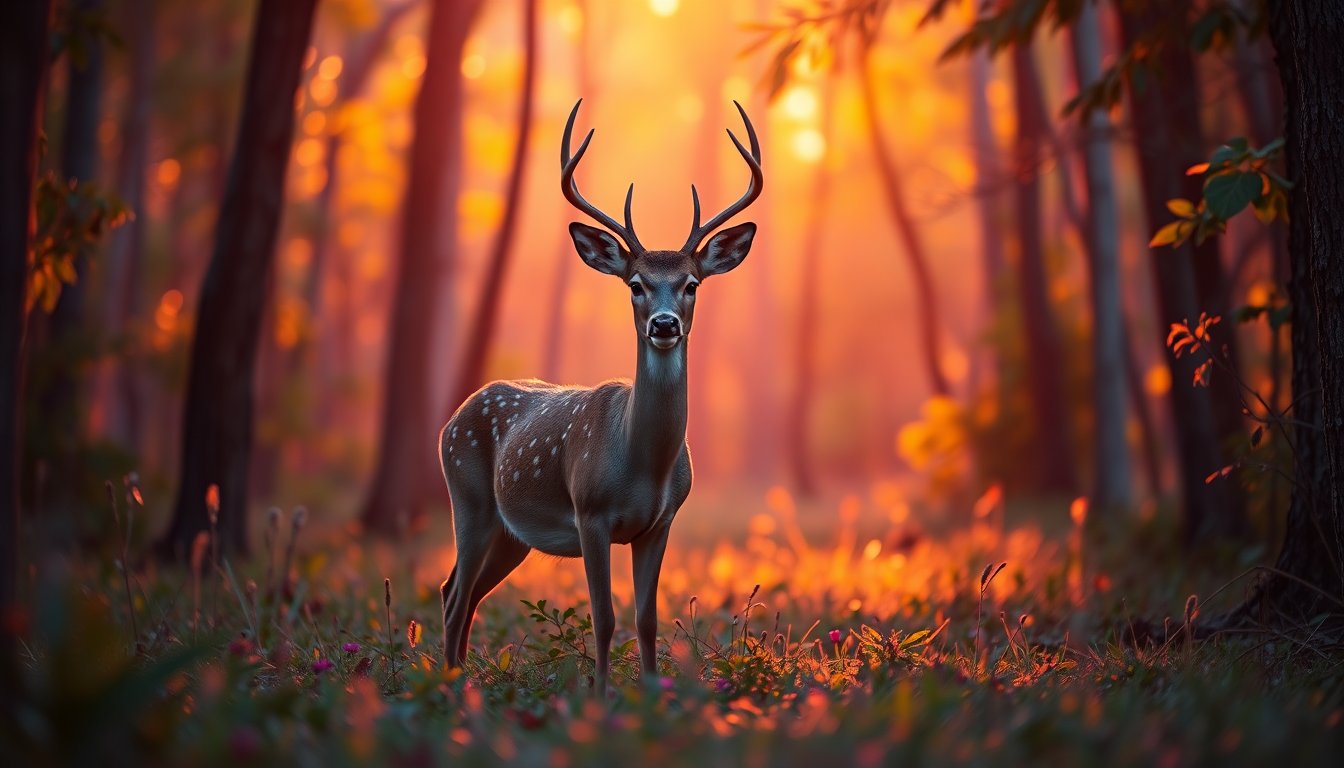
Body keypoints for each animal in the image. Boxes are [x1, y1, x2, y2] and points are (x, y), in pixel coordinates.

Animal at [437, 99, 762, 694]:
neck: (639, 462)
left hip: (512, 532)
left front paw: (653, 695)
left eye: (692, 284)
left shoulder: (660, 522)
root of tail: (453, 417)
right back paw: (447, 685)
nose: (663, 324)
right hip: (467, 497)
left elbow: (647, 617)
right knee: (453, 594)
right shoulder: (590, 514)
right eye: (635, 284)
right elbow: (605, 616)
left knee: (463, 594)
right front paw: (602, 697)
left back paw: (461, 677)